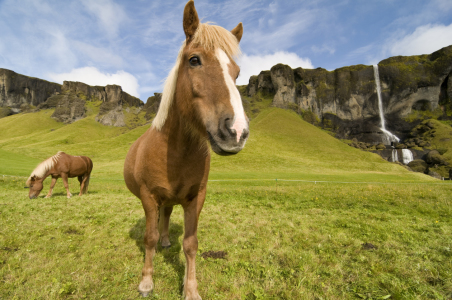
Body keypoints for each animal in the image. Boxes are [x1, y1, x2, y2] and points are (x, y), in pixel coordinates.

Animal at [123, 1, 249, 298]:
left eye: (237, 72)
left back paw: (167, 240)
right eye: (194, 60)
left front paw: (190, 288)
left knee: (167, 217)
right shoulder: (148, 197)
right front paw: (146, 281)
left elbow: (191, 244)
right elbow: (148, 237)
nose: (236, 131)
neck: (175, 152)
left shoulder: (195, 198)